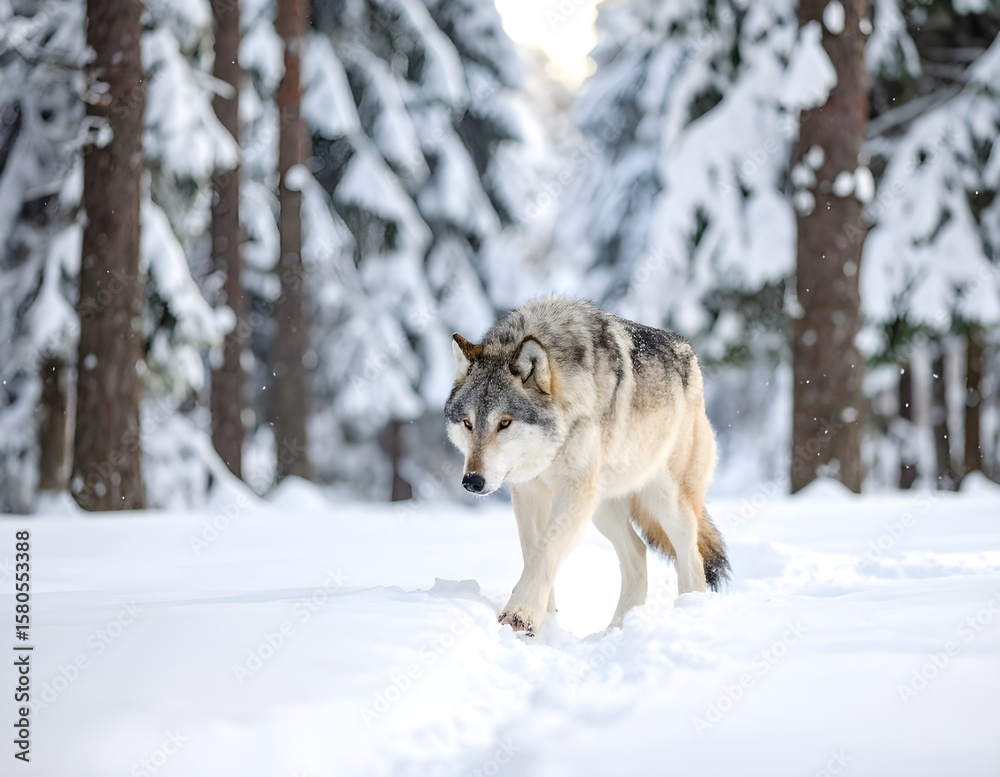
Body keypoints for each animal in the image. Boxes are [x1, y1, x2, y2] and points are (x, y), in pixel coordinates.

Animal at [444, 297, 730, 634]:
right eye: (468, 423)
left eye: (504, 423)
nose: (472, 481)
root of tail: (691, 353)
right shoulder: (529, 490)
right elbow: (533, 551)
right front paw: (547, 623)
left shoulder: (575, 490)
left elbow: (545, 550)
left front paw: (520, 615)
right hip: (602, 508)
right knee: (638, 553)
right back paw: (616, 630)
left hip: (666, 503)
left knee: (691, 557)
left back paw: (686, 615)